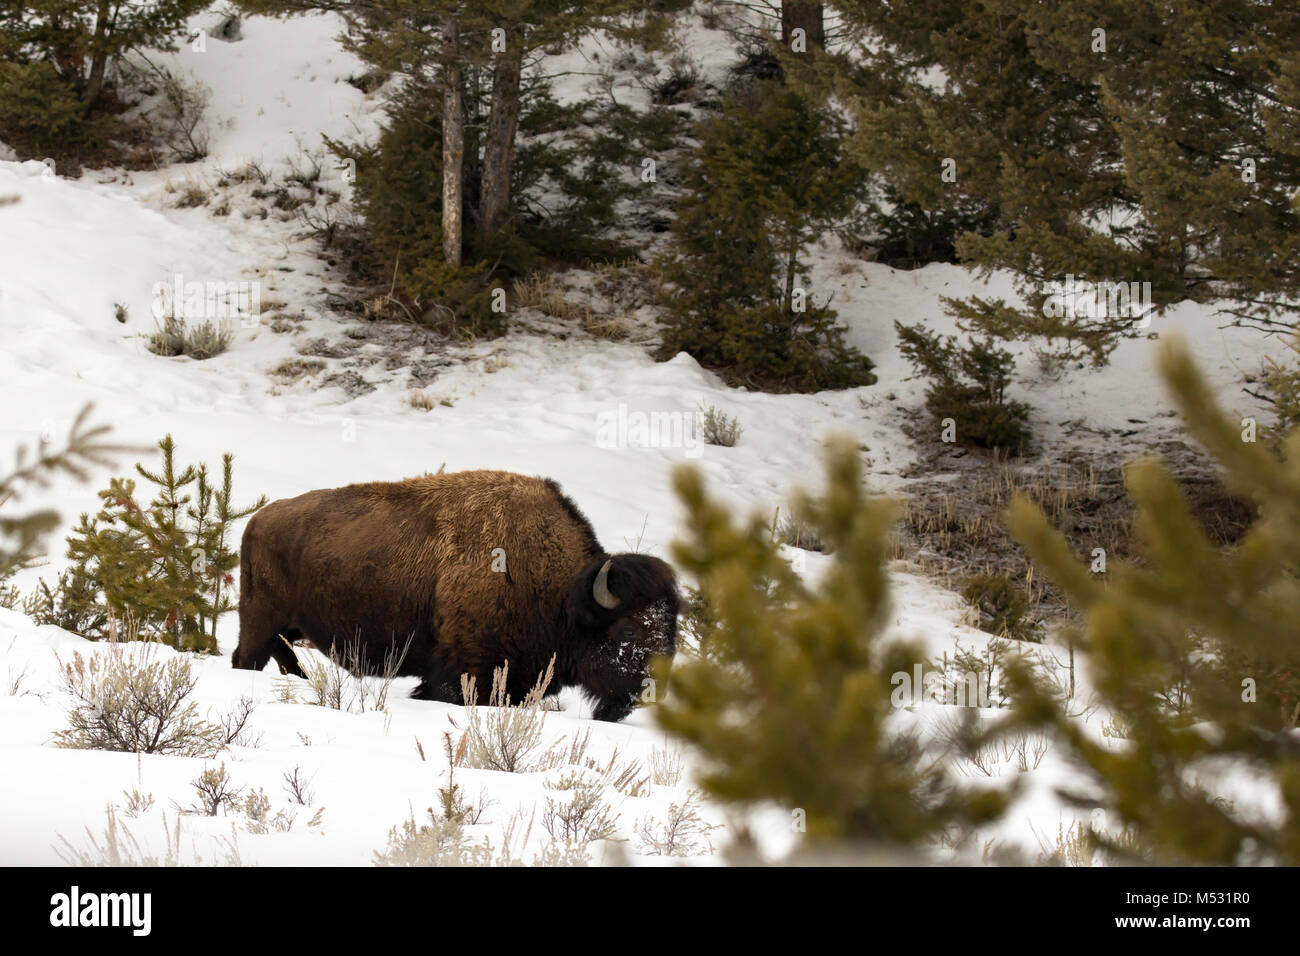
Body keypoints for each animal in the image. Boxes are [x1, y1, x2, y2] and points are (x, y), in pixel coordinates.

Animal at [232, 470, 679, 722]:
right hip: (260, 621)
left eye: (671, 632)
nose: (652, 690)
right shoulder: (464, 674)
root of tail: (258, 519)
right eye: (628, 632)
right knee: (246, 658)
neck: (564, 593)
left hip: (286, 629)